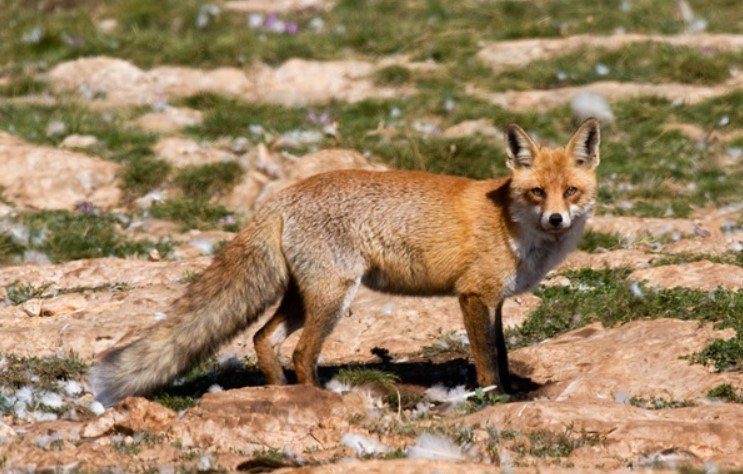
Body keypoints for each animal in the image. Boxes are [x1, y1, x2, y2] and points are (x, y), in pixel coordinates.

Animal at [91, 117, 600, 404]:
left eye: (572, 191)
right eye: (537, 192)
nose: (556, 218)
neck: (511, 224)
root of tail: (284, 194)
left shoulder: (494, 301)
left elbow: (503, 352)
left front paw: (510, 393)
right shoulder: (474, 295)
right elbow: (487, 360)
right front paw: (494, 399)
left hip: (303, 297)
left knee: (262, 338)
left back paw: (281, 394)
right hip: (333, 296)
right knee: (301, 352)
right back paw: (315, 399)